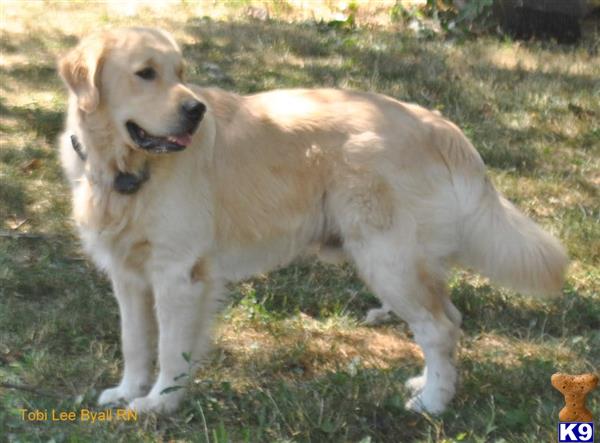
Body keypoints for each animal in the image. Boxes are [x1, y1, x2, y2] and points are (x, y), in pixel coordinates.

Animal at [57, 27, 568, 416]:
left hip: (388, 259)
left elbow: (169, 348)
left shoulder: (177, 273)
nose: (195, 111)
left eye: (180, 74)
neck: (124, 168)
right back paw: (427, 385)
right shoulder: (128, 275)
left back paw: (432, 404)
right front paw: (127, 392)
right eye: (145, 74)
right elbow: (135, 342)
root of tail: (434, 121)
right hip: (404, 262)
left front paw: (160, 402)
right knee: (448, 320)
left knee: (439, 327)